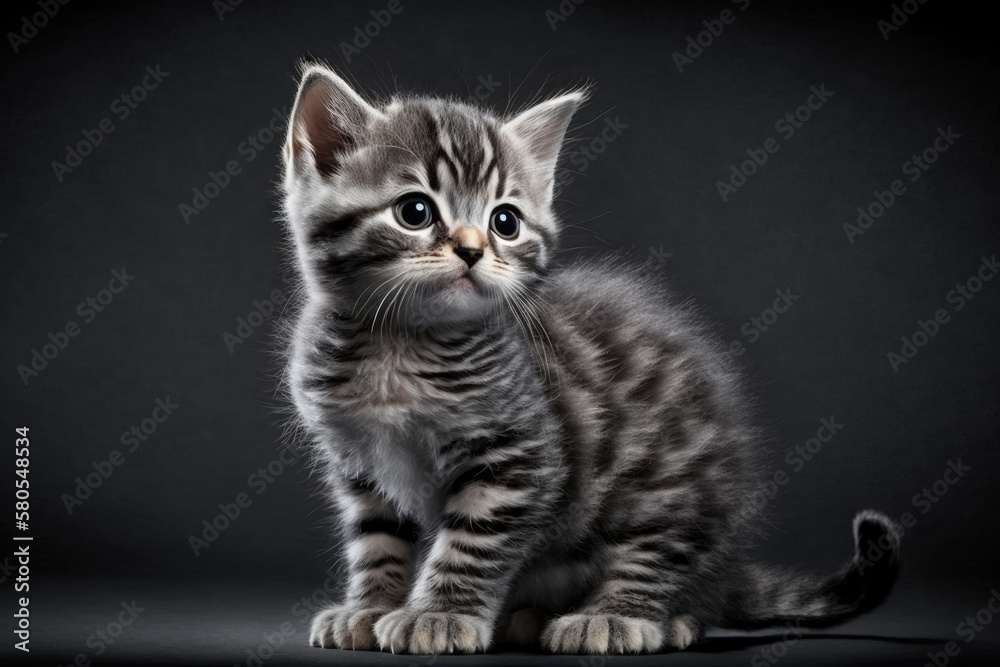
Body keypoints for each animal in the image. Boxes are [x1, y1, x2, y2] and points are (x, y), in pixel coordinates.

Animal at [278, 65, 904, 656]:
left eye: (505, 222)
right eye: (414, 211)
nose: (473, 249)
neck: (399, 348)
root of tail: (728, 570)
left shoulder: (519, 456)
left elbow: (471, 542)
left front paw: (440, 614)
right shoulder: (359, 463)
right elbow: (375, 538)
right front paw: (369, 607)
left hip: (670, 496)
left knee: (662, 568)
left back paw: (625, 618)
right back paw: (527, 617)